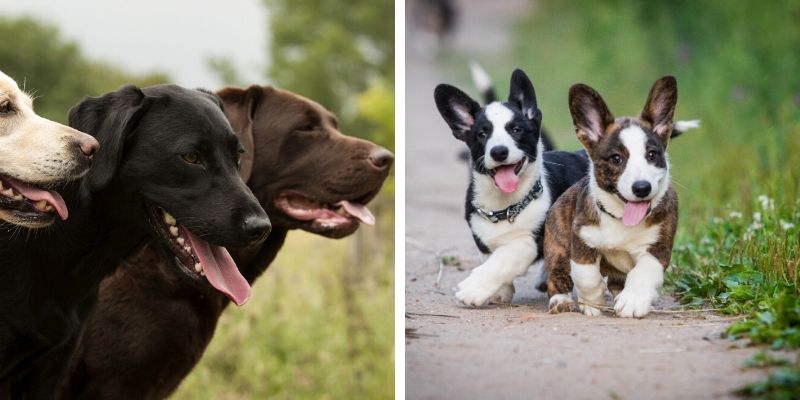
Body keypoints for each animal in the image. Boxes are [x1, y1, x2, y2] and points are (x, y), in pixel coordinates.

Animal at [434, 69, 592, 306]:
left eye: (516, 130)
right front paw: (501, 291)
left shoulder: (530, 240)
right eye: (482, 134)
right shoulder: (482, 238)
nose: (499, 151)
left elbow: (504, 257)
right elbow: (492, 257)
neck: (505, 205)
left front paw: (473, 289)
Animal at [548, 76, 692, 318]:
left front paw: (633, 301)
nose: (642, 188)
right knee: (557, 274)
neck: (621, 218)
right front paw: (592, 303)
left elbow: (644, 271)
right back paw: (560, 300)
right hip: (556, 246)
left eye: (652, 155)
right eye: (616, 158)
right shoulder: (582, 240)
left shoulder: (658, 248)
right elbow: (587, 276)